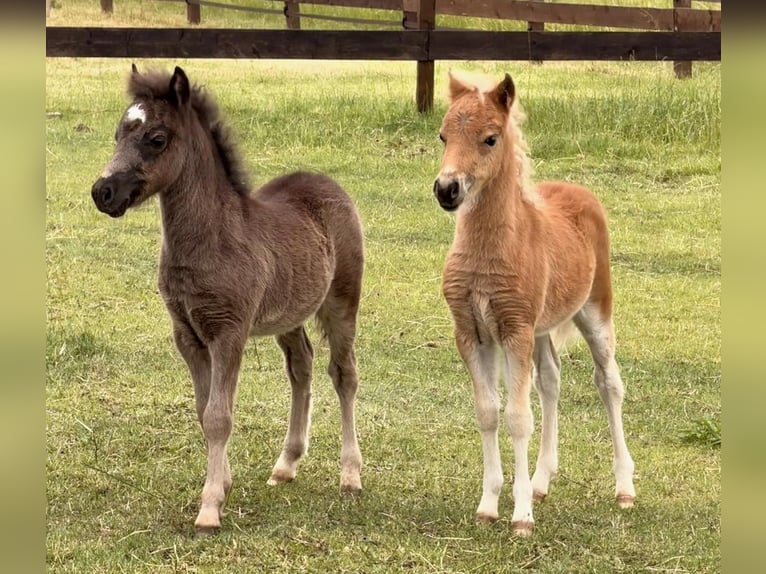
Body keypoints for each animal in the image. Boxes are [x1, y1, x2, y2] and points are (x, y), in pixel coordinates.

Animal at [90, 65, 364, 535]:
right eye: (119, 133)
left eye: (156, 138)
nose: (102, 192)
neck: (212, 239)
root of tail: (327, 182)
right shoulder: (188, 336)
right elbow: (205, 412)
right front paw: (224, 481)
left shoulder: (228, 333)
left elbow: (220, 416)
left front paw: (209, 508)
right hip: (289, 312)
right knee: (302, 366)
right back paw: (286, 465)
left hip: (342, 301)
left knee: (343, 374)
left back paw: (350, 475)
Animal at [432, 70, 636, 536]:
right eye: (443, 135)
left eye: (490, 138)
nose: (447, 189)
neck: (489, 251)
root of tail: (579, 191)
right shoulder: (472, 333)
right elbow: (489, 412)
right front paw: (489, 505)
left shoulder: (515, 330)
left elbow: (518, 417)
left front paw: (521, 515)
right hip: (542, 328)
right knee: (551, 381)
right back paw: (543, 482)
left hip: (594, 310)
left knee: (609, 383)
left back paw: (624, 488)